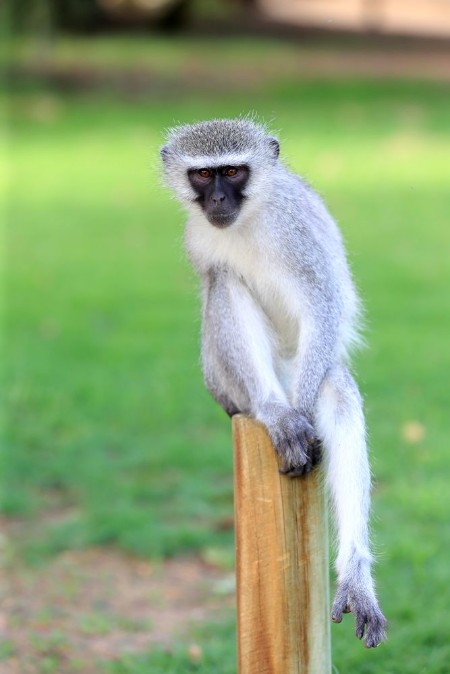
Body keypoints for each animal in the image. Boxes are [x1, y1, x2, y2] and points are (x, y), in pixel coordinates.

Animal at [160, 118, 387, 648]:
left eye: (233, 171)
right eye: (203, 175)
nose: (218, 199)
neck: (247, 220)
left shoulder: (295, 230)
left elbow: (322, 301)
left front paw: (301, 414)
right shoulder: (197, 239)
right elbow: (216, 282)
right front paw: (283, 419)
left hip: (302, 367)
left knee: (336, 391)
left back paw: (355, 574)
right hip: (239, 384)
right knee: (224, 281)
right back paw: (272, 412)